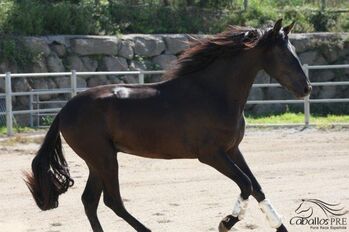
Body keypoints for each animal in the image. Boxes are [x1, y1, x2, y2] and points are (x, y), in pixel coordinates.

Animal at [26, 19, 310, 231]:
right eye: (285, 54)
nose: (306, 88)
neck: (214, 92)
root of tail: (65, 110)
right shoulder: (211, 155)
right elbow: (246, 185)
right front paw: (226, 222)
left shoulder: (232, 150)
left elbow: (257, 188)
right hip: (104, 158)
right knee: (112, 201)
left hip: (97, 161)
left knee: (90, 201)